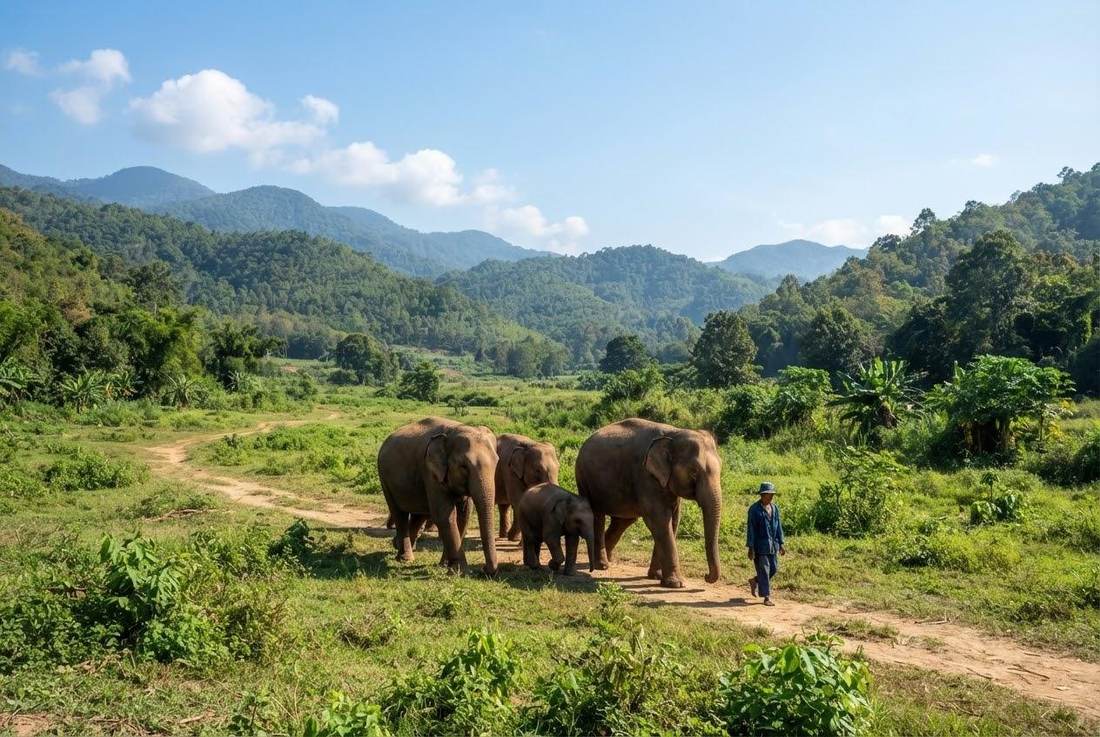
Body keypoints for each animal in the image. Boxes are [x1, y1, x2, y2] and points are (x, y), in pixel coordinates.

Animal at [378, 417, 498, 575]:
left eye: (497, 463)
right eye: (464, 466)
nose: (484, 570)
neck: (453, 431)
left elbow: (463, 515)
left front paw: (445, 565)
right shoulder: (430, 472)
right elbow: (445, 515)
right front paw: (459, 571)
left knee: (420, 514)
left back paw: (397, 546)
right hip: (384, 478)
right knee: (399, 513)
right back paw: (405, 558)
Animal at [576, 418, 722, 588]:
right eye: (693, 472)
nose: (706, 576)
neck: (674, 433)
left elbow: (673, 522)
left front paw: (656, 577)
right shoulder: (646, 476)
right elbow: (660, 521)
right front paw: (676, 584)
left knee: (623, 521)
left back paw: (606, 560)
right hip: (584, 479)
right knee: (597, 516)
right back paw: (602, 565)